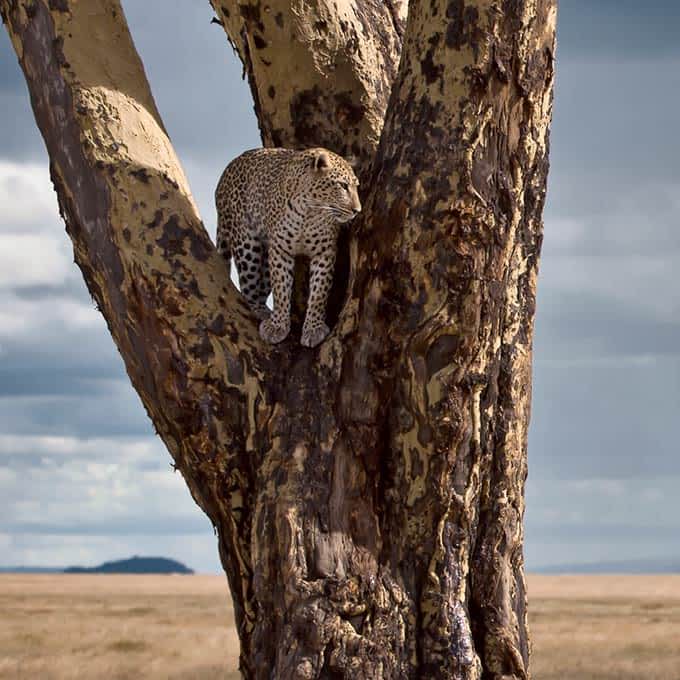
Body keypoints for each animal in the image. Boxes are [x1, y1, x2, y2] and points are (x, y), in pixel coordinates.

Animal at [215, 149, 362, 350]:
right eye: (343, 186)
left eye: (356, 187)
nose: (357, 210)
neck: (310, 211)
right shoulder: (280, 250)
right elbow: (281, 290)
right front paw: (277, 326)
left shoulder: (324, 252)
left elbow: (319, 293)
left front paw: (313, 329)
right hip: (246, 244)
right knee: (248, 289)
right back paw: (261, 311)